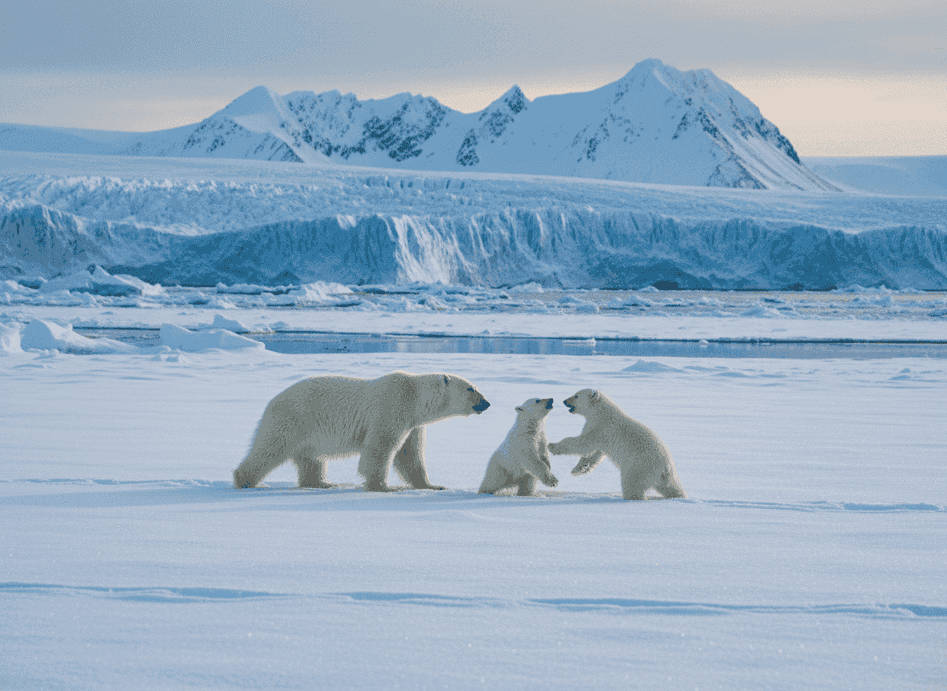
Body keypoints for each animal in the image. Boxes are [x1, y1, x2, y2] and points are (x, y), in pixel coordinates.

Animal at [233, 371, 490, 491]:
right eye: (471, 388)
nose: (487, 403)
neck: (415, 397)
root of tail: (272, 400)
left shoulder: (413, 424)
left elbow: (410, 456)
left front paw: (432, 485)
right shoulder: (391, 407)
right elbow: (380, 448)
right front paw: (382, 486)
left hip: (309, 431)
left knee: (311, 458)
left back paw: (322, 483)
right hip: (293, 418)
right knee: (270, 447)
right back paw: (246, 481)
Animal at [548, 389, 686, 500]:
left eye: (576, 396)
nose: (565, 401)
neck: (601, 412)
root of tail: (665, 466)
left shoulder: (600, 427)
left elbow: (584, 444)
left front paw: (552, 446)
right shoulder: (601, 435)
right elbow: (596, 453)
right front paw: (578, 469)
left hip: (638, 466)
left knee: (632, 485)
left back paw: (631, 498)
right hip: (667, 476)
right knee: (671, 487)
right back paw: (679, 496)